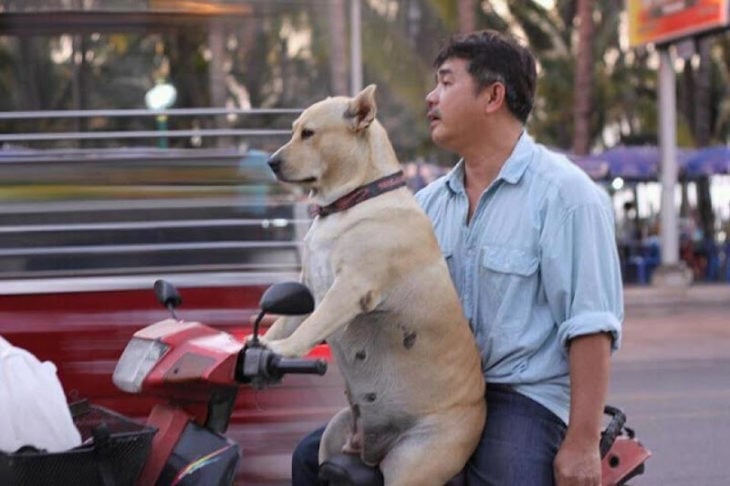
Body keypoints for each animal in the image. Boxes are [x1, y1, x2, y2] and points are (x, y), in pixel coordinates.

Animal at [262, 85, 484, 484]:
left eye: (309, 134)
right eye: (294, 130)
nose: (271, 162)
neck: (355, 199)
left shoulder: (350, 288)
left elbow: (311, 327)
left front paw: (283, 349)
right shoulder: (307, 291)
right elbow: (285, 321)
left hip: (412, 466)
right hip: (334, 437)